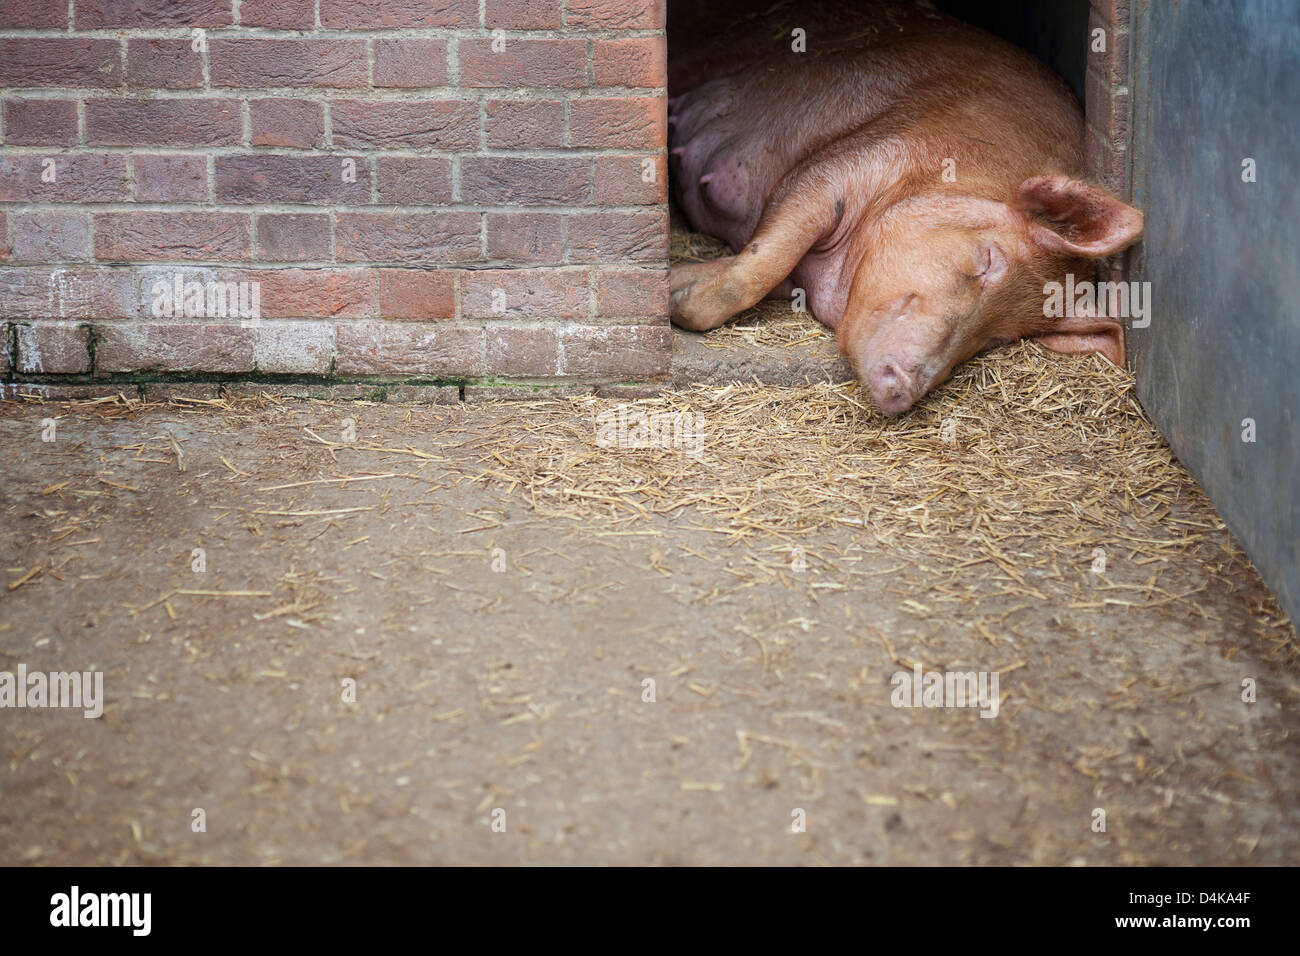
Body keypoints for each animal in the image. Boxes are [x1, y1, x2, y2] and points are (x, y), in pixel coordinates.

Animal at [667, 0, 1144, 414]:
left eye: (997, 338)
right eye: (987, 261)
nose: (903, 387)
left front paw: (678, 286)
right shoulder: (836, 169)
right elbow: (762, 262)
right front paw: (675, 301)